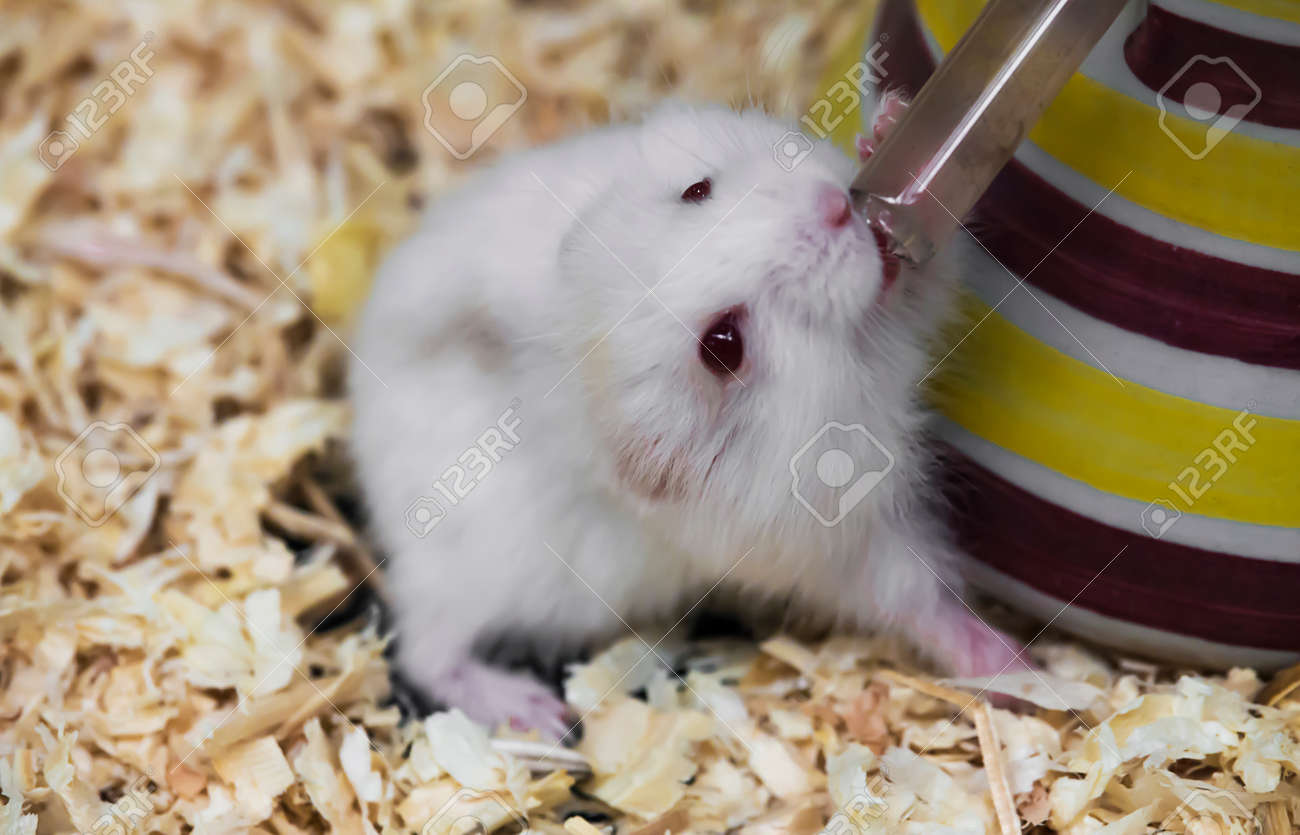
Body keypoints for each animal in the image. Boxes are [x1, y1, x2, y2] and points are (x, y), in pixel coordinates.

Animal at [349, 97, 1027, 737]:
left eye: (696, 190)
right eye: (723, 345)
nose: (837, 206)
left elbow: (934, 267)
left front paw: (887, 128)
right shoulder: (839, 540)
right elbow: (921, 598)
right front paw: (1020, 672)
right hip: (473, 585)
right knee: (425, 650)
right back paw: (535, 713)